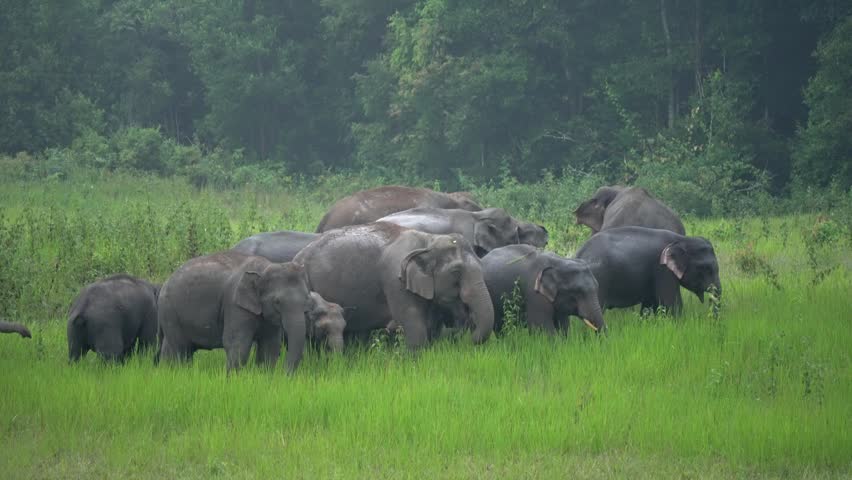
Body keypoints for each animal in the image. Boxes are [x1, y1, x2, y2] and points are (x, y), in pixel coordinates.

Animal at [156, 251, 315, 372]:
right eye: (277, 302)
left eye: (307, 299)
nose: (284, 374)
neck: (264, 268)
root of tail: (166, 281)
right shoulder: (235, 306)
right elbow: (237, 344)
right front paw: (233, 381)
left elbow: (270, 346)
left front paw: (265, 378)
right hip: (170, 312)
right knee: (181, 350)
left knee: (171, 348)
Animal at [293, 222, 494, 348]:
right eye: (456, 272)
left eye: (482, 265)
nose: (467, 338)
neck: (428, 240)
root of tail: (297, 257)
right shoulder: (395, 280)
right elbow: (413, 322)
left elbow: (430, 324)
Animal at [575, 226, 721, 315]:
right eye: (706, 268)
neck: (682, 240)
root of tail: (579, 254)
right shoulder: (663, 270)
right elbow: (672, 304)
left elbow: (649, 305)